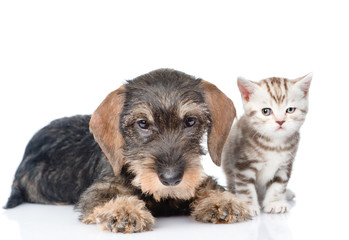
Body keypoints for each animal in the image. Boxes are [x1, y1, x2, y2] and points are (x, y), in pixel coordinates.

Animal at [5, 69, 250, 232]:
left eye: (190, 121)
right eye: (143, 123)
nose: (171, 179)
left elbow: (205, 186)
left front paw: (222, 201)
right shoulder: (97, 191)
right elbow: (109, 196)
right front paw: (124, 210)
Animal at [222, 73, 312, 216]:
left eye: (290, 110)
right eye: (266, 111)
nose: (280, 121)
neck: (274, 145)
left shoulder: (285, 165)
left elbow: (279, 184)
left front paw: (275, 203)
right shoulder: (243, 164)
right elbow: (245, 186)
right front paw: (248, 205)